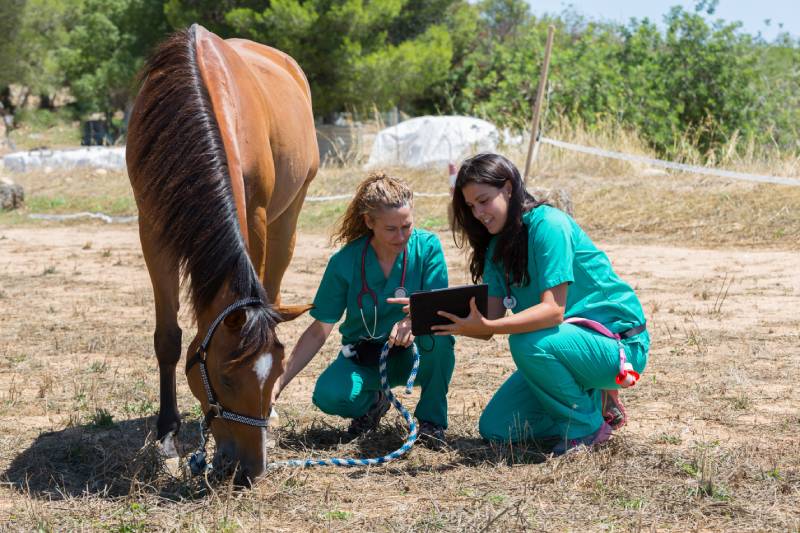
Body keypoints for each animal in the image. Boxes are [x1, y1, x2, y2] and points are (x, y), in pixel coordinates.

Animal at [126, 25, 318, 482]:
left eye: (277, 369)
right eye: (226, 380)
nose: (251, 469)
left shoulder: (258, 215)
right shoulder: (152, 230)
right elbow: (168, 339)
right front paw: (167, 436)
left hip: (290, 215)